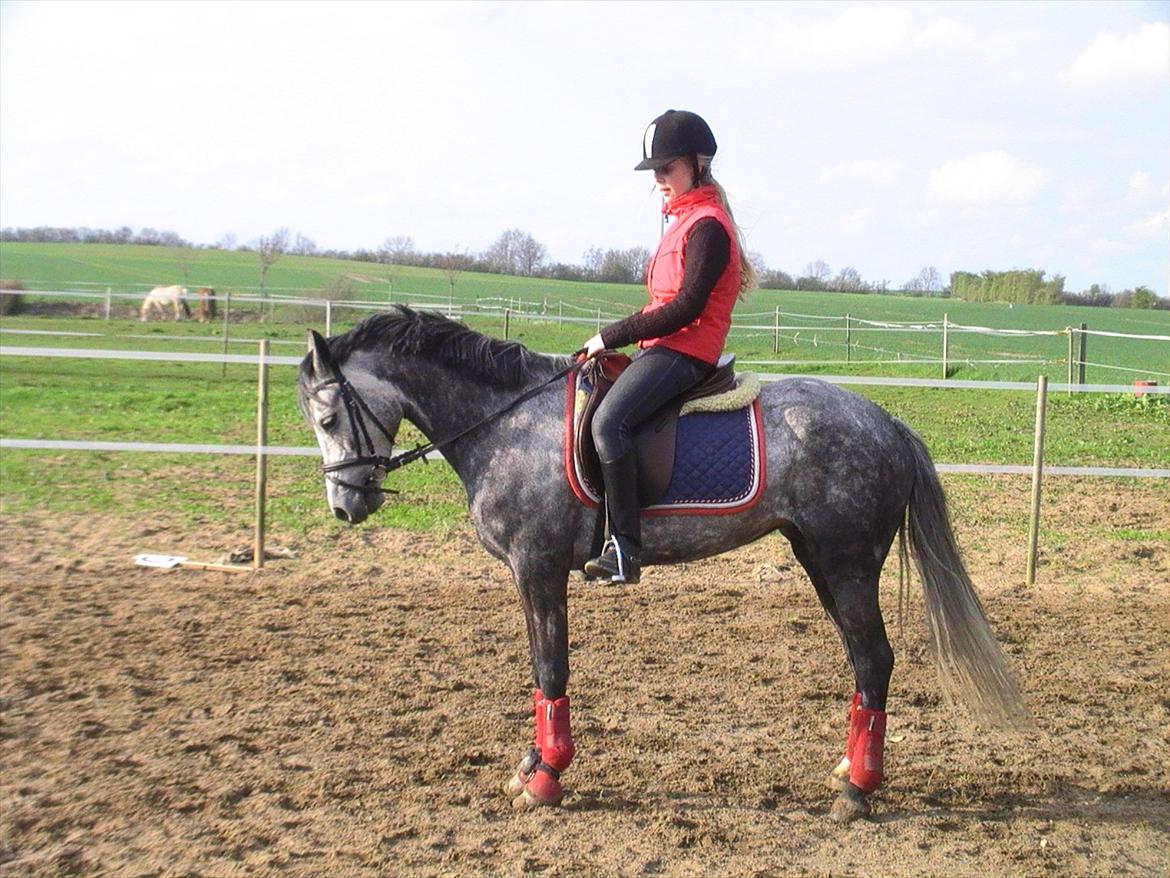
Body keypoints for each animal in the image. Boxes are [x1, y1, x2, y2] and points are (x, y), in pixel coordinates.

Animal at [296, 306, 1030, 824]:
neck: (506, 424)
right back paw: (847, 772)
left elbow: (550, 668)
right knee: (863, 663)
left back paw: (857, 791)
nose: (344, 505)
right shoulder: (528, 575)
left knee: (874, 659)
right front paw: (531, 766)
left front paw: (547, 777)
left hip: (846, 563)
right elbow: (538, 670)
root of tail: (888, 424)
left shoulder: (538, 568)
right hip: (821, 560)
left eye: (329, 417)